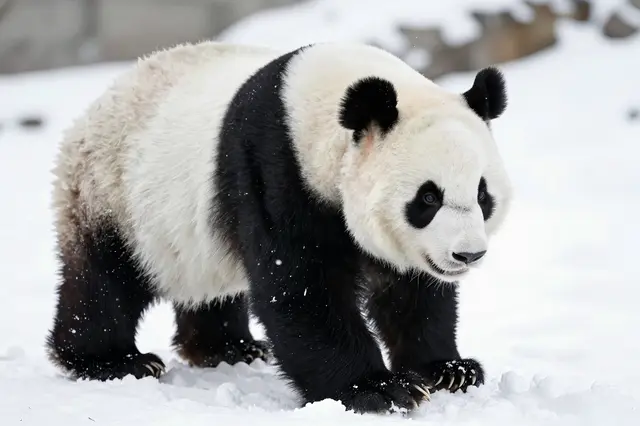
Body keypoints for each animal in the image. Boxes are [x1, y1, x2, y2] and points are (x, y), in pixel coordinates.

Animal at [46, 40, 511, 414]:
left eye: (482, 194)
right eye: (428, 198)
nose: (467, 254)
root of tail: (94, 107)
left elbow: (413, 293)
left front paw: (449, 370)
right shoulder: (272, 170)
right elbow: (300, 289)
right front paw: (379, 389)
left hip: (188, 232)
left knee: (208, 287)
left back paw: (227, 348)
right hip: (112, 193)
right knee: (105, 281)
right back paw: (113, 361)